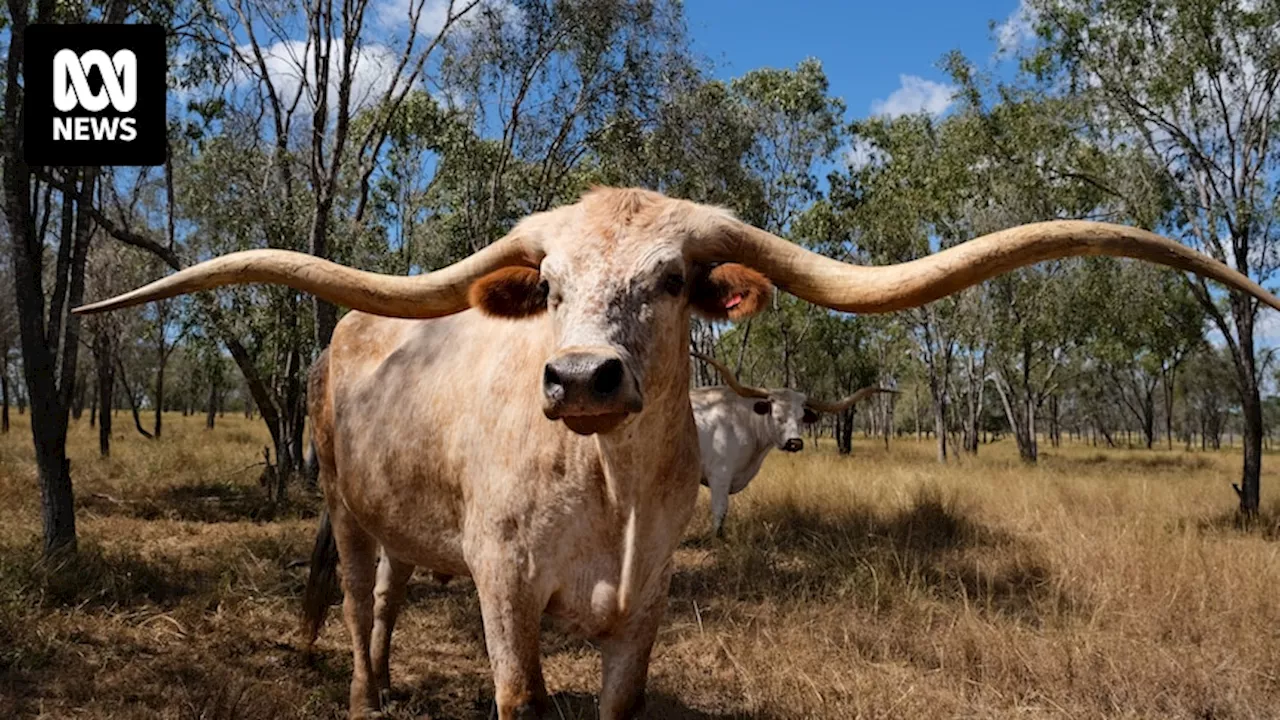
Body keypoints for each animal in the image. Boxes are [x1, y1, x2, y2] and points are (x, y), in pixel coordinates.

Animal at [691, 351, 890, 535]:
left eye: (801, 418)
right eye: (777, 416)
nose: (795, 442)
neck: (743, 419)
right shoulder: (720, 475)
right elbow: (720, 512)